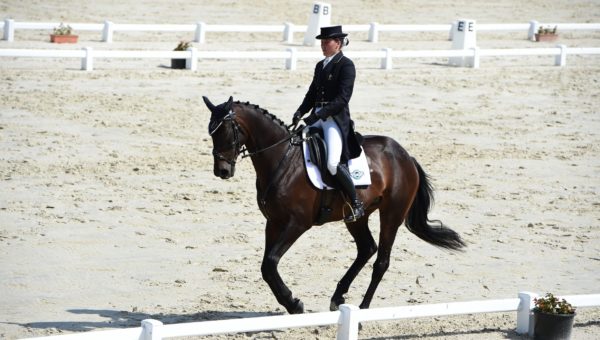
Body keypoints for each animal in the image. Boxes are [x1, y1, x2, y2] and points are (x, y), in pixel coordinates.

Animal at [204, 95, 466, 314]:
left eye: (226, 131)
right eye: (211, 133)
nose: (222, 171)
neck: (282, 158)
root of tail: (405, 156)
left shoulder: (297, 223)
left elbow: (270, 263)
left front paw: (294, 303)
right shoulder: (274, 222)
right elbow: (267, 266)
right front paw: (291, 303)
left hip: (392, 214)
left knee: (381, 261)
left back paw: (362, 308)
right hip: (357, 215)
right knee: (367, 248)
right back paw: (338, 296)